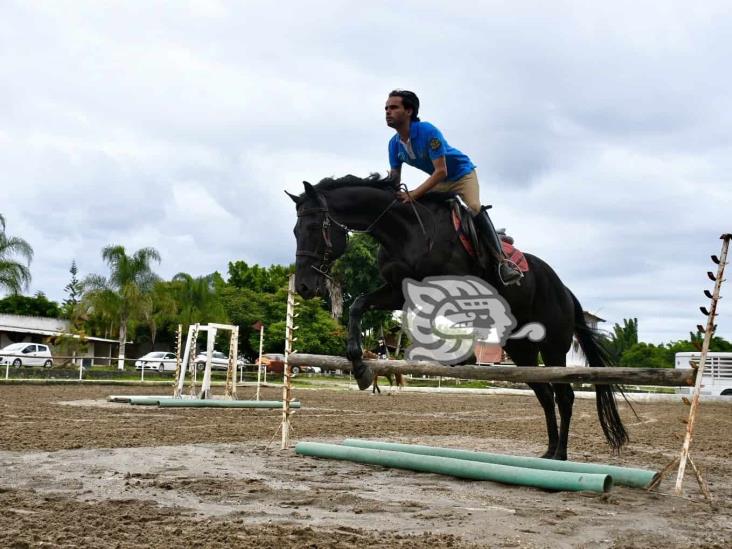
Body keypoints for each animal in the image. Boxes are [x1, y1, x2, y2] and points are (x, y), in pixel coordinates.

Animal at [288, 174, 628, 458]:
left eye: (315, 229)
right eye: (295, 231)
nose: (304, 285)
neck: (405, 230)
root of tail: (563, 288)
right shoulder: (396, 290)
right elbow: (358, 304)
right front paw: (360, 366)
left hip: (554, 345)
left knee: (564, 395)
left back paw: (561, 455)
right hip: (522, 349)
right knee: (545, 394)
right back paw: (549, 452)